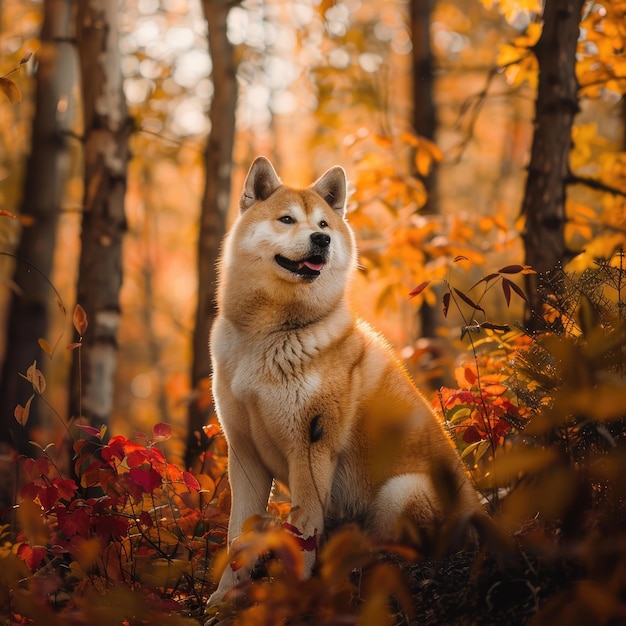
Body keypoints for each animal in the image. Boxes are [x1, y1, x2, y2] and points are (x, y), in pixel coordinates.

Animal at [207, 156, 480, 604]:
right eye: (287, 219)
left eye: (323, 223)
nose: (321, 240)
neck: (269, 336)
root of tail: (484, 514)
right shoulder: (244, 454)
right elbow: (237, 537)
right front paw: (225, 599)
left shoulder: (311, 448)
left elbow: (301, 534)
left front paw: (293, 596)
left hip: (400, 491)